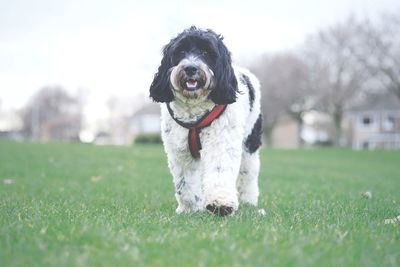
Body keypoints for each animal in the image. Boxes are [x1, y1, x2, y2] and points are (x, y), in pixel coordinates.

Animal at [150, 26, 262, 217]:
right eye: (181, 51)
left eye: (206, 52)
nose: (190, 68)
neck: (194, 111)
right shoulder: (180, 151)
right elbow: (184, 182)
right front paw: (190, 207)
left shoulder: (221, 141)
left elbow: (219, 169)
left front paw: (221, 203)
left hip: (250, 143)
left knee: (248, 173)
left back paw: (248, 201)